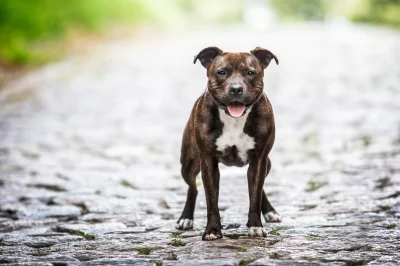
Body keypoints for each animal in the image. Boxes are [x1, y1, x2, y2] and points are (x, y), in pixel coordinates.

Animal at [177, 46, 280, 240]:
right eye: (222, 72)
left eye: (250, 73)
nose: (236, 89)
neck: (234, 119)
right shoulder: (208, 162)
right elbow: (211, 201)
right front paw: (212, 230)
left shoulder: (259, 160)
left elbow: (255, 195)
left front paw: (255, 226)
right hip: (189, 163)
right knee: (192, 187)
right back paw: (186, 218)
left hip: (267, 163)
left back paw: (269, 211)